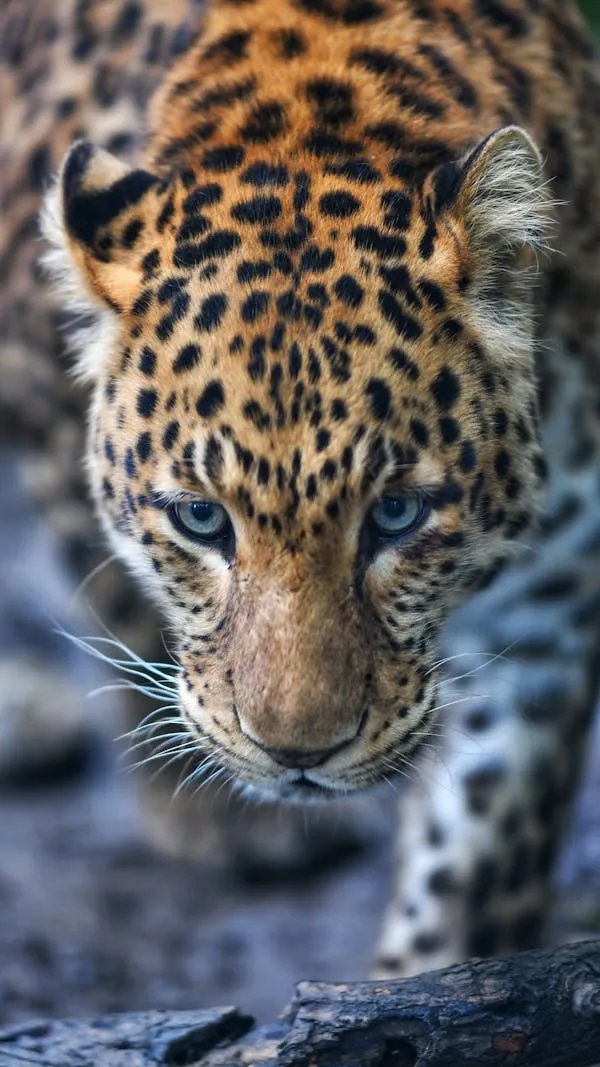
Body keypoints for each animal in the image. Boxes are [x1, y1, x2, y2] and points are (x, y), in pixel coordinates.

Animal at [2, 0, 600, 981]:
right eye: (201, 519)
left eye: (396, 513)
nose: (297, 755)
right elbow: (117, 603)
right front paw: (209, 804)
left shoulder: (552, 606)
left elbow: (476, 857)